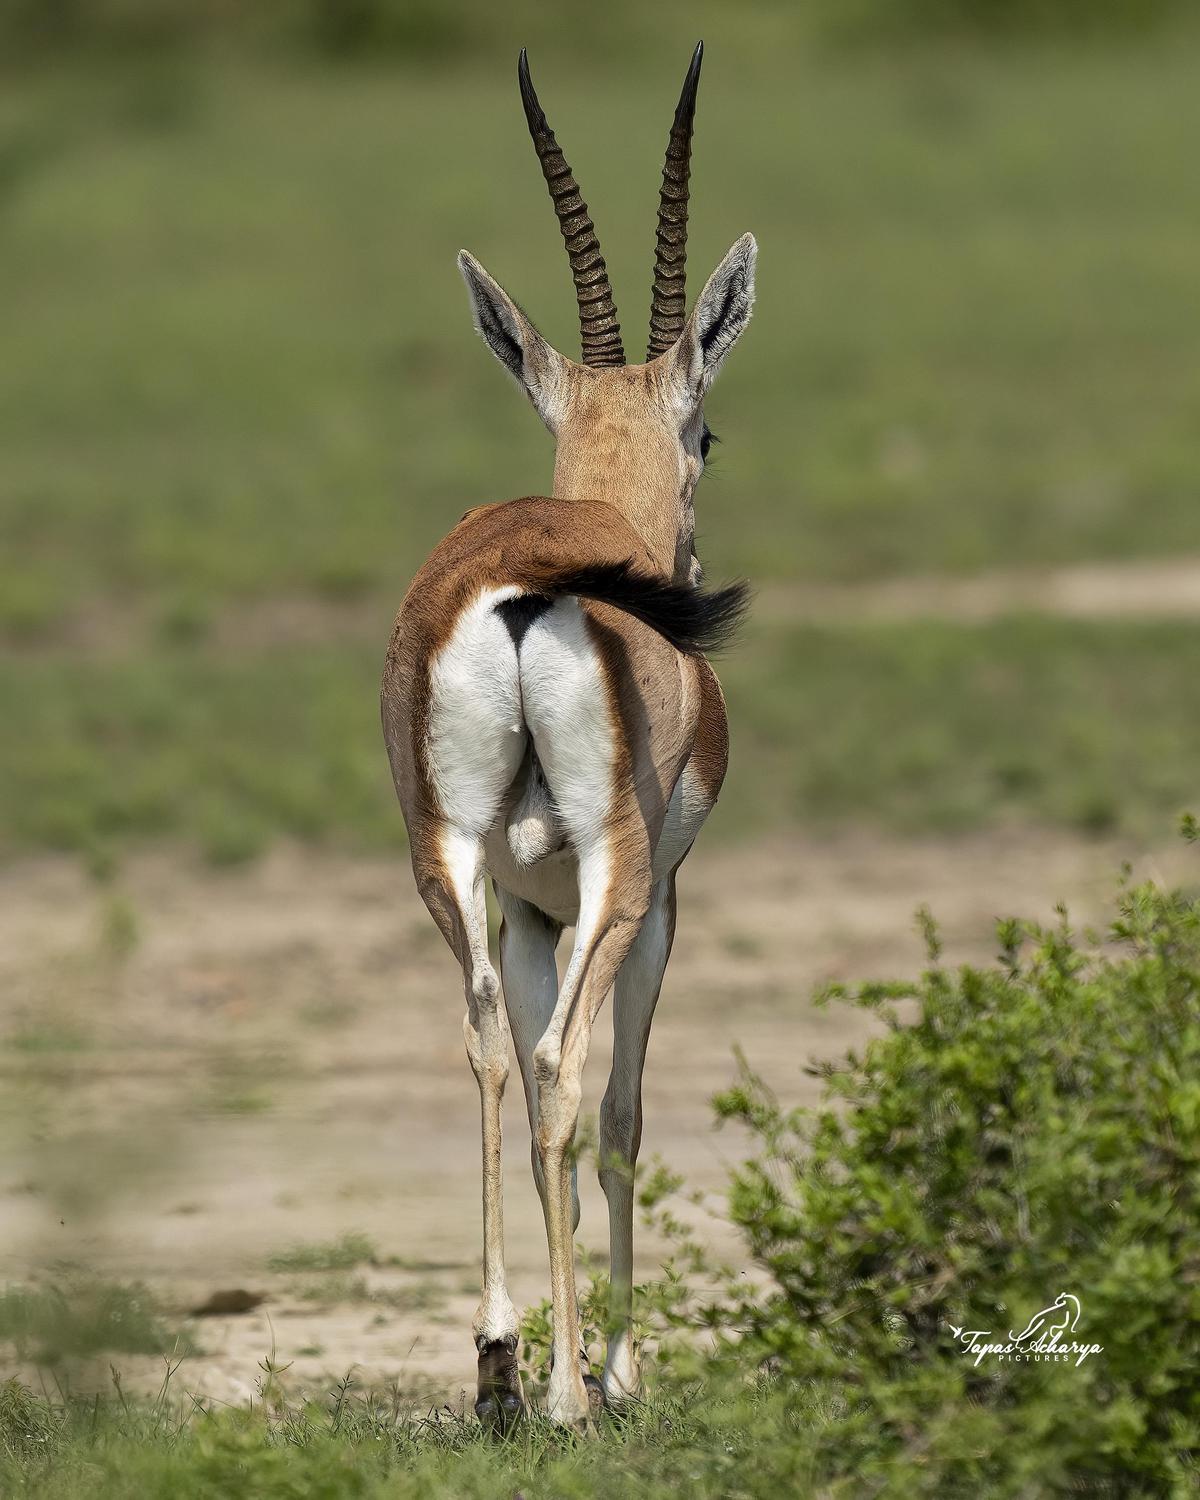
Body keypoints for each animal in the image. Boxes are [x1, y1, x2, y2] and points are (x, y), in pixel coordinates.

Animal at [381, 41, 756, 1431]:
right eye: (707, 429)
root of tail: (530, 584)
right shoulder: (653, 907)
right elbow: (624, 1115)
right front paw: (617, 1369)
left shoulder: (534, 909)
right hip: (615, 877)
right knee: (561, 1069)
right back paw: (563, 1396)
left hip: (448, 861)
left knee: (492, 1050)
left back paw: (496, 1364)